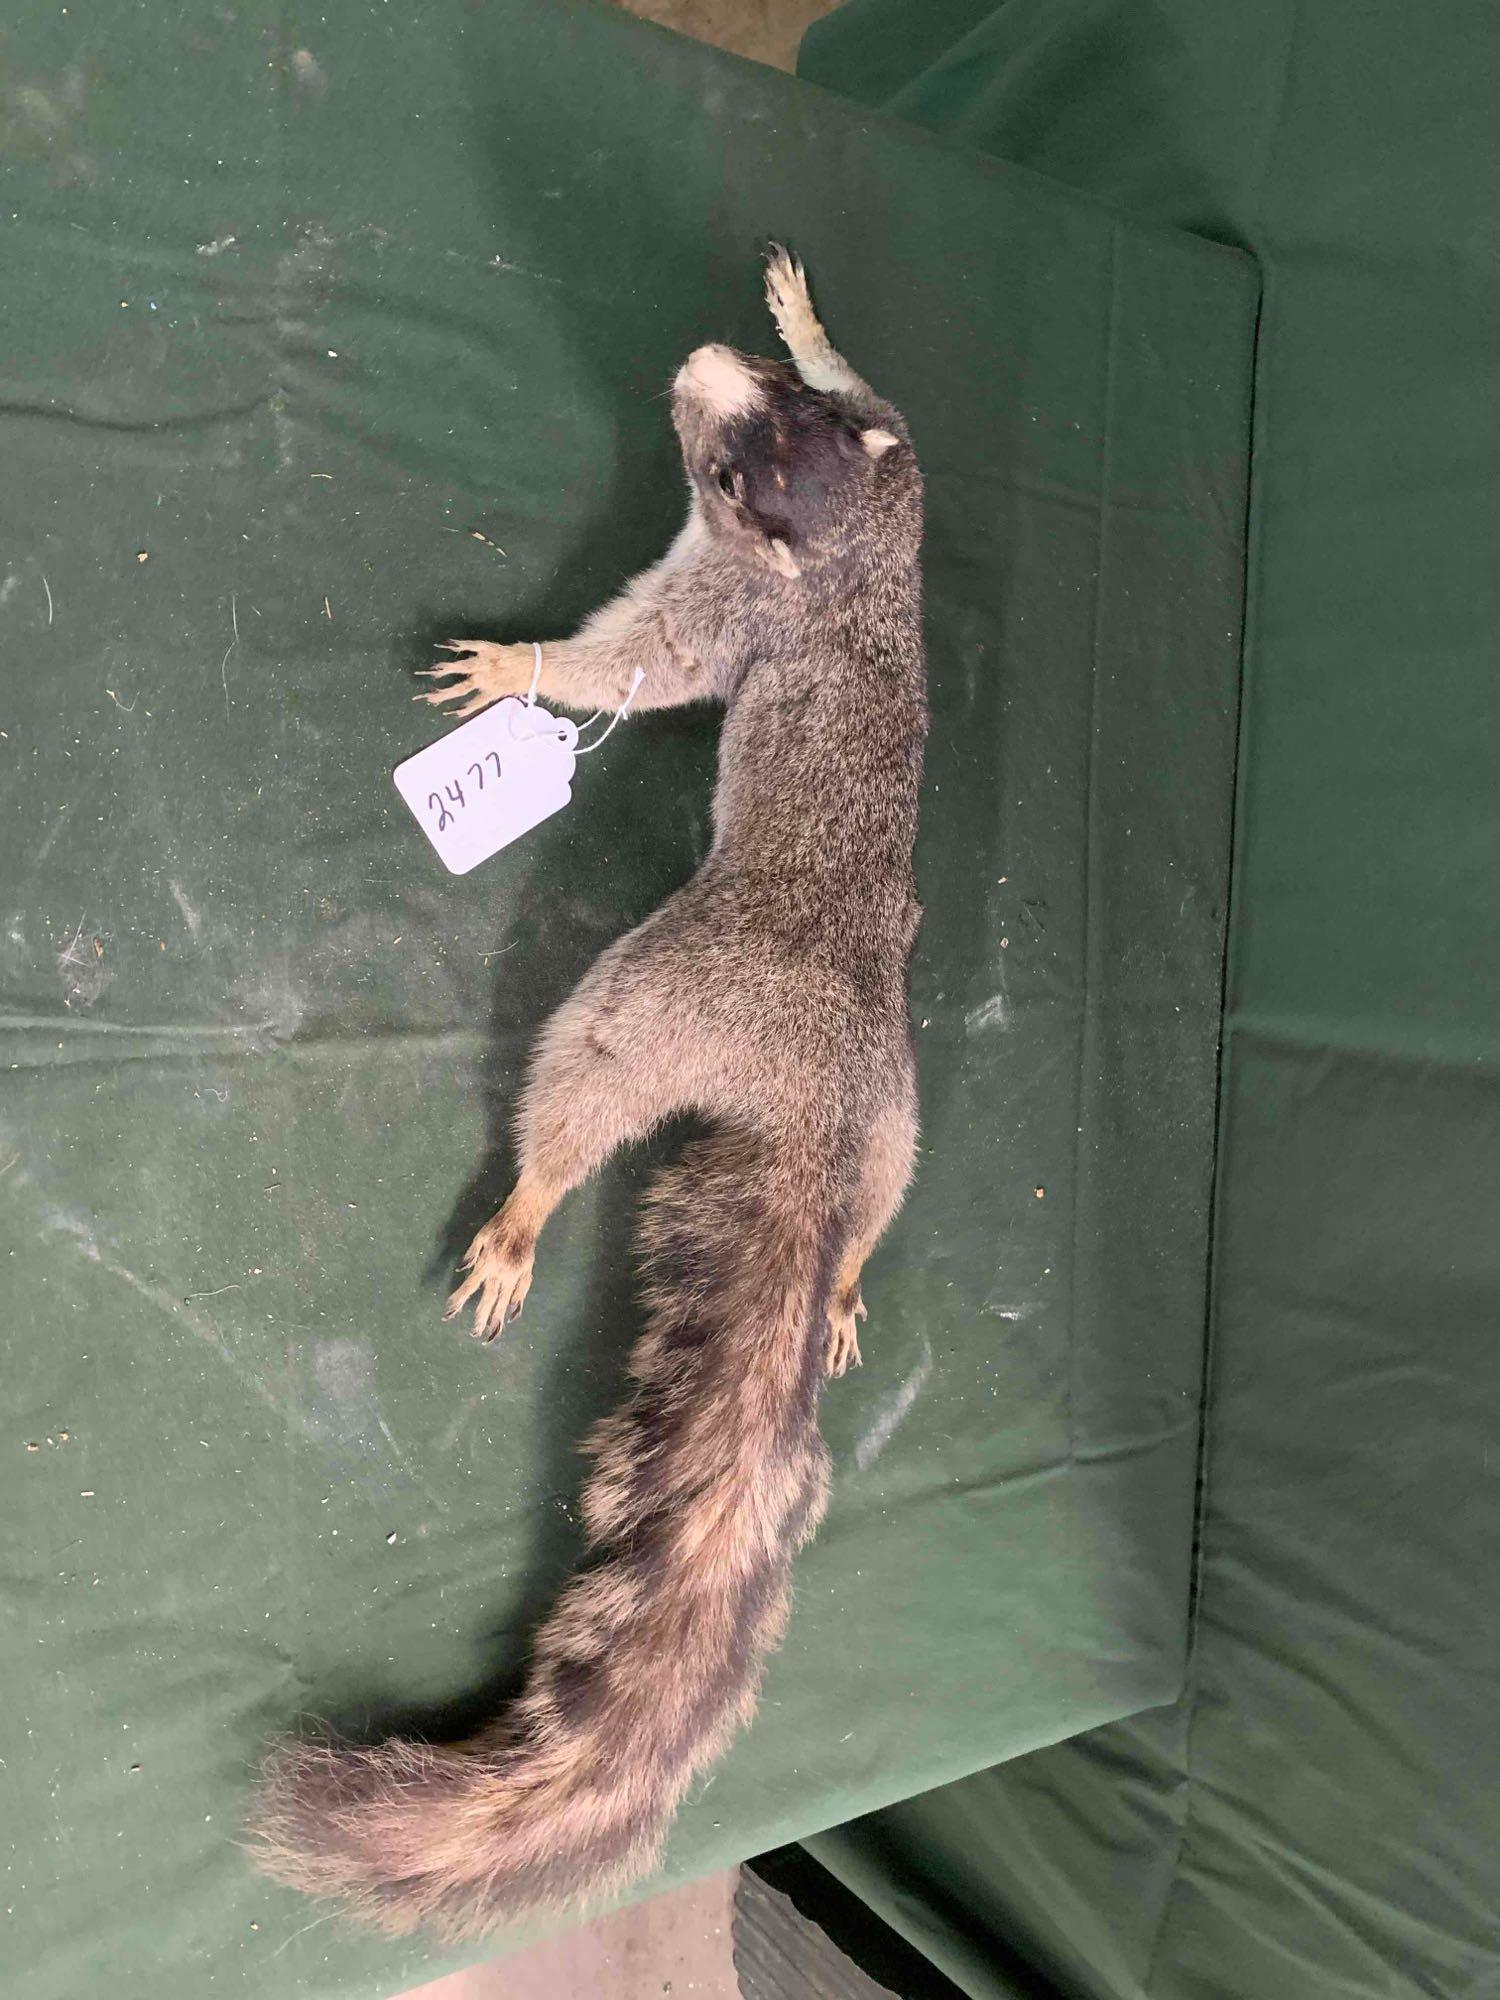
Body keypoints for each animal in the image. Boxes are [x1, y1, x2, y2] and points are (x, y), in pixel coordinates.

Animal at [251, 249, 927, 1937]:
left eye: (734, 476)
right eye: (780, 409)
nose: (697, 360)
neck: (839, 554)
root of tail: (820, 1137)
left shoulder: (730, 607)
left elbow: (640, 661)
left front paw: (518, 668)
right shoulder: (909, 492)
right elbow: (895, 397)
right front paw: (808, 305)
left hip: (652, 1000)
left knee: (579, 1094)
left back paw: (526, 1209)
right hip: (903, 1126)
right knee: (881, 1209)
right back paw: (849, 1276)